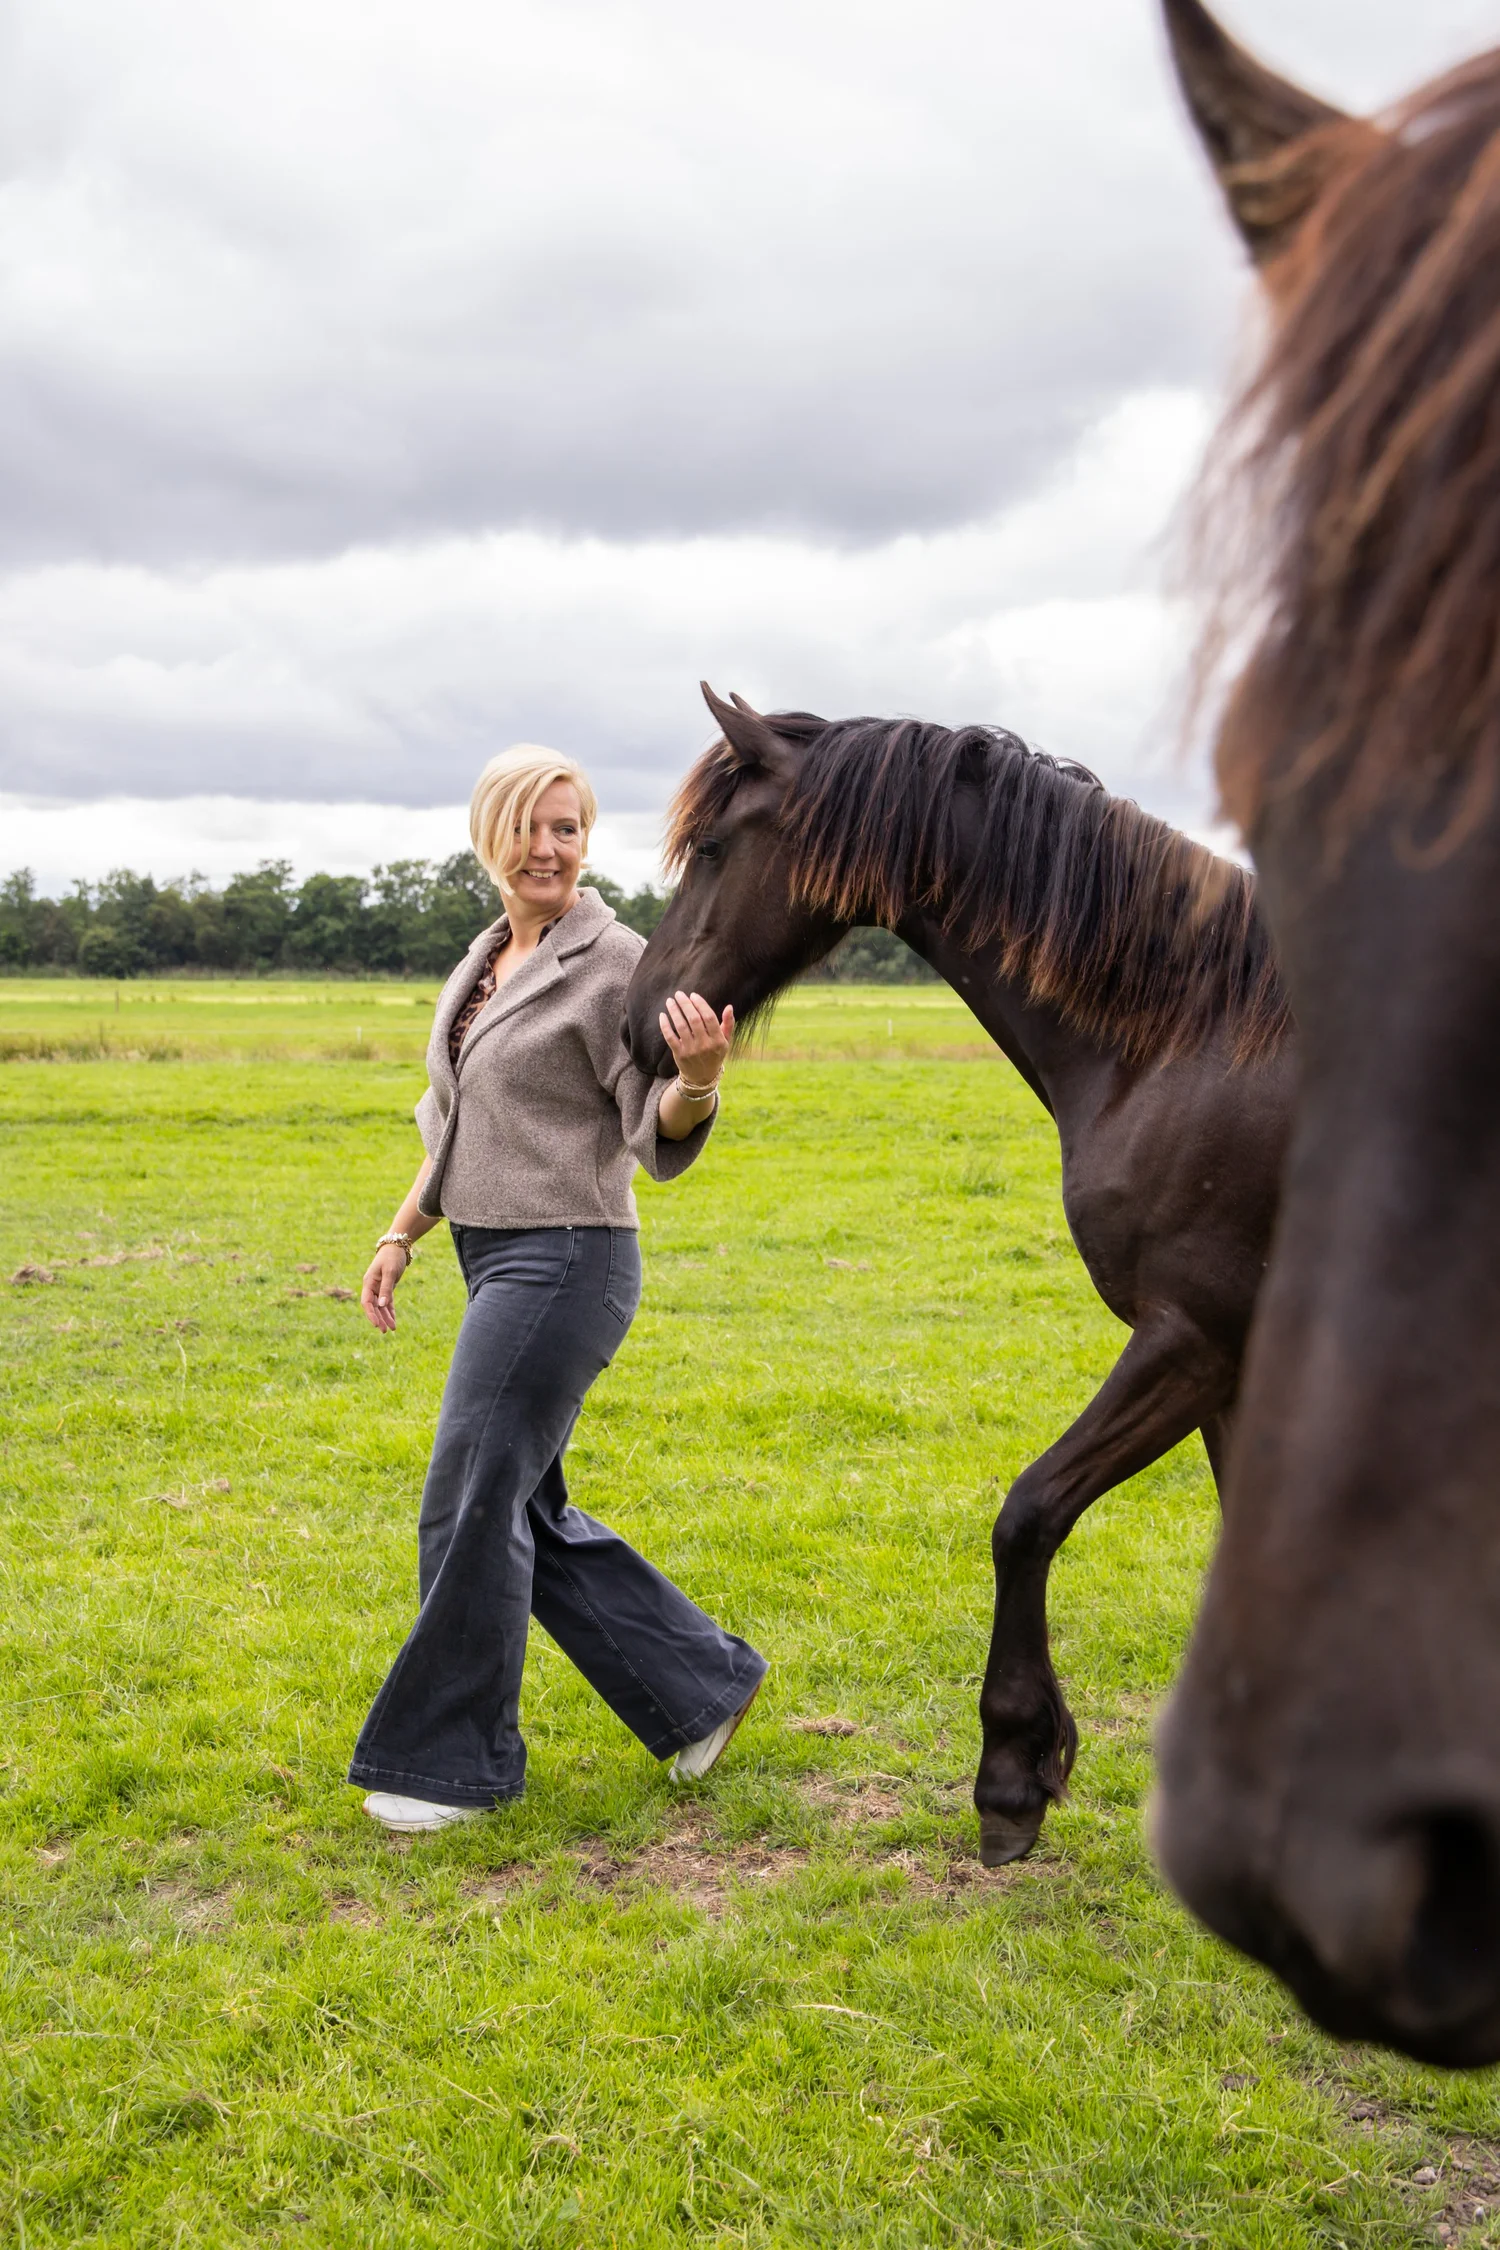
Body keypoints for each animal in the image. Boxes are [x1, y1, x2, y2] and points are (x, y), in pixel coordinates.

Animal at [625, 683, 1295, 1870]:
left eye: (710, 848)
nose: (638, 1019)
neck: (1195, 1040)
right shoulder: (1230, 1365)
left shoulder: (1193, 1337)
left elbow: (1027, 1514)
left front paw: (1014, 1773)